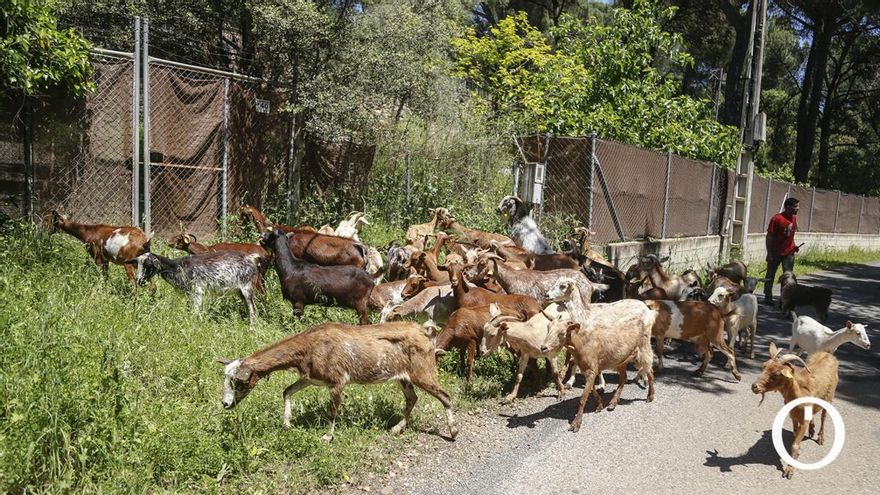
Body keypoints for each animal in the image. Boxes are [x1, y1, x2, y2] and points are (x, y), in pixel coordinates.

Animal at [125, 251, 261, 324]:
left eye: (148, 265)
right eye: (137, 265)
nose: (139, 280)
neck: (177, 267)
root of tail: (252, 258)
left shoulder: (197, 292)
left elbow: (195, 312)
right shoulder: (189, 294)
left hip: (247, 288)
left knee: (253, 309)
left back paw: (252, 328)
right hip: (240, 291)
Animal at [217, 321, 457, 442]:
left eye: (238, 383)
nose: (225, 404)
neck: (310, 346)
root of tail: (425, 331)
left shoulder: (337, 381)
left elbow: (332, 410)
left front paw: (327, 436)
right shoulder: (310, 378)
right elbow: (287, 391)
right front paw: (287, 423)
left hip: (422, 372)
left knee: (445, 395)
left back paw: (453, 432)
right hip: (403, 376)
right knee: (412, 398)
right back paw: (397, 428)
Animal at [540, 300, 656, 432]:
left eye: (562, 333)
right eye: (548, 328)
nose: (543, 347)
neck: (582, 343)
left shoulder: (591, 370)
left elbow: (583, 398)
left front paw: (576, 424)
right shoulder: (588, 369)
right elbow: (592, 389)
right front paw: (600, 405)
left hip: (643, 351)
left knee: (650, 371)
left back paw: (650, 396)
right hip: (621, 360)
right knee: (624, 378)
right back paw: (613, 403)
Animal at [751, 342, 839, 479]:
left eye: (777, 373)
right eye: (764, 366)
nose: (754, 386)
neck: (800, 394)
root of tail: (828, 354)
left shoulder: (803, 421)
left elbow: (795, 445)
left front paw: (789, 470)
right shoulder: (793, 416)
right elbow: (795, 436)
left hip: (830, 397)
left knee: (824, 416)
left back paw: (820, 438)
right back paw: (812, 430)